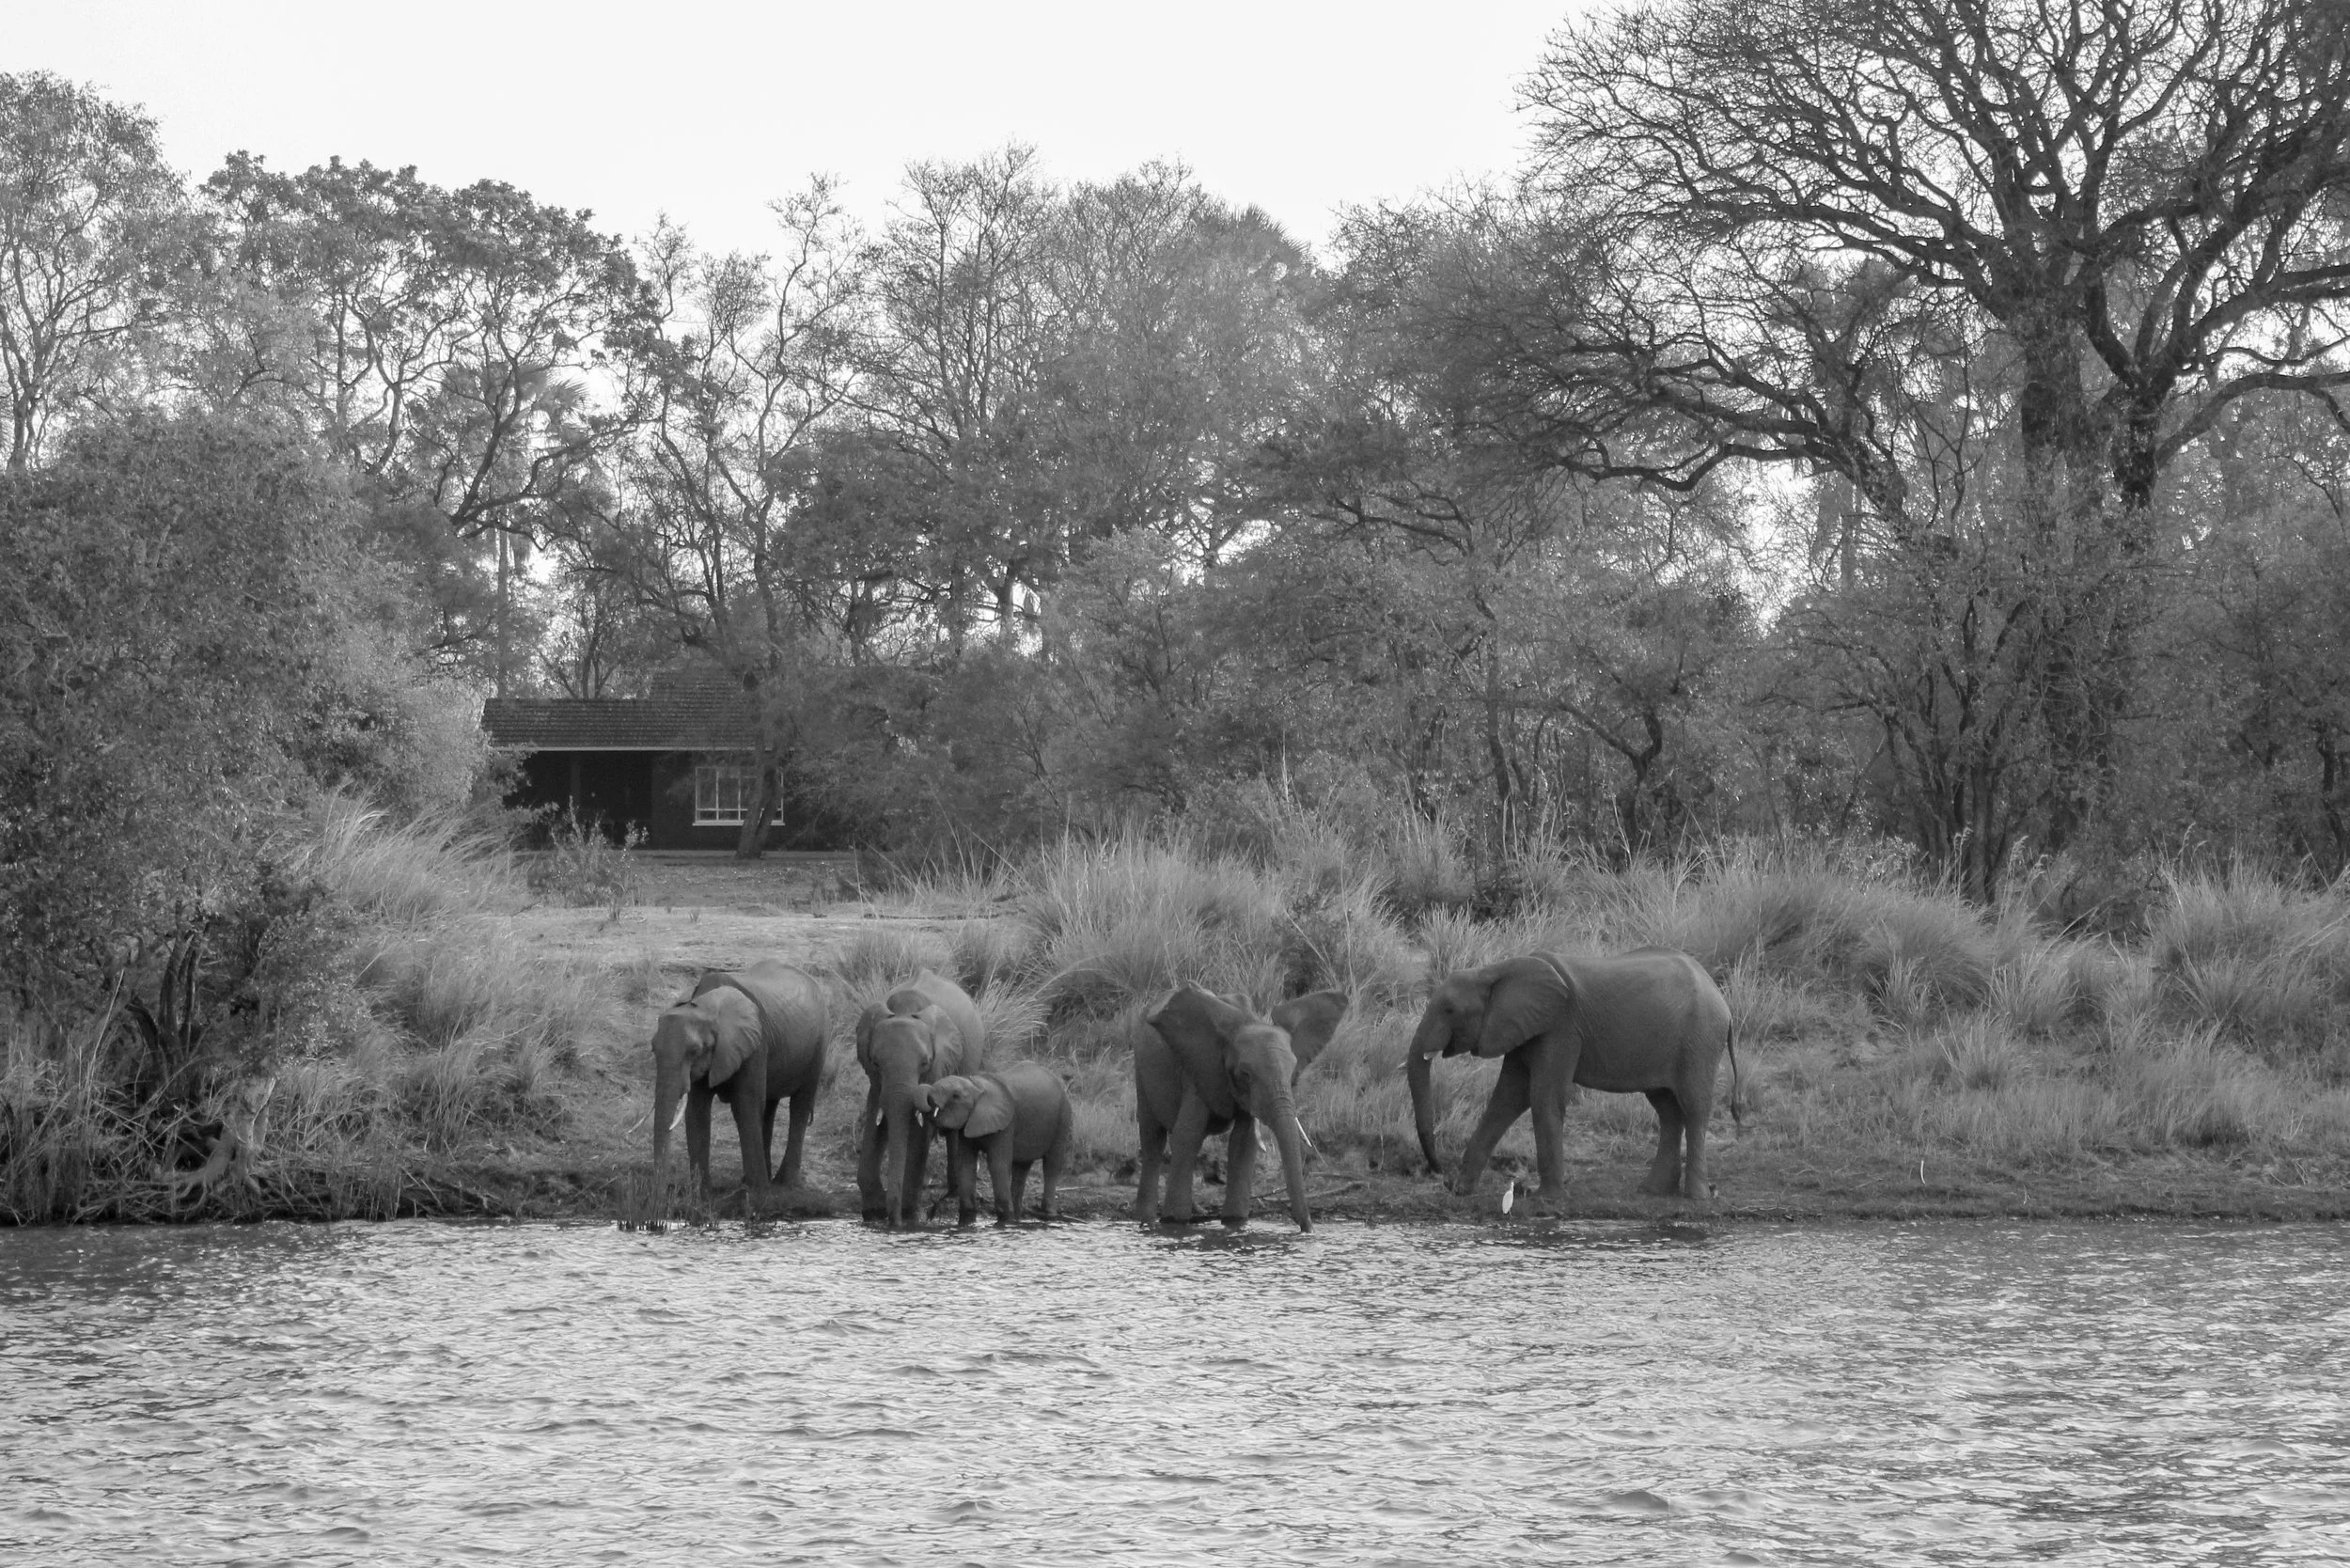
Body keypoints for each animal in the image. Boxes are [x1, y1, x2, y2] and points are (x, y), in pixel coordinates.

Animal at [650, 959, 829, 1209]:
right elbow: (698, 1112)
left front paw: (757, 1196)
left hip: (818, 1045)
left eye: (694, 1051)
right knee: (768, 1107)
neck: (707, 1006)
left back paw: (783, 1184)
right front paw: (702, 1196)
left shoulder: (755, 1044)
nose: (661, 1198)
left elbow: (745, 1105)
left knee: (799, 1106)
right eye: (653, 1049)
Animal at [856, 969, 986, 1227]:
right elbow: (876, 1121)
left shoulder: (938, 1064)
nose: (893, 1223)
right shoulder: (876, 1080)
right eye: (875, 1062)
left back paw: (954, 1192)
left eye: (925, 1062)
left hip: (971, 1057)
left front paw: (907, 1216)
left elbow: (918, 1132)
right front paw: (873, 1211)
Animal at [919, 1062, 1073, 1226]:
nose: (931, 1213)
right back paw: (1018, 1216)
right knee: (1022, 1168)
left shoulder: (1006, 1124)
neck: (976, 1086)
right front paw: (968, 1219)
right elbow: (966, 1164)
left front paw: (1005, 1219)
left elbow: (997, 1165)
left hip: (1063, 1118)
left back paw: (1048, 1215)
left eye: (956, 1096)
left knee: (1052, 1165)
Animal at [1135, 986, 1347, 1232]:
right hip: (1141, 1069)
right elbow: (1188, 1135)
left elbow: (1243, 1143)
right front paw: (1175, 1223)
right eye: (1246, 1074)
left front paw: (1235, 1222)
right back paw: (1146, 1219)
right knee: (1153, 1139)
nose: (1307, 1229)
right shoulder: (1199, 1068)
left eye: (1292, 1073)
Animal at [1406, 947, 1739, 1209]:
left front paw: (1547, 1200)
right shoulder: (1523, 1028)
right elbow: (1507, 1099)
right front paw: (1461, 1191)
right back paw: (1653, 1191)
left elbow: (1543, 1097)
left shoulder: (1560, 1027)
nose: (1441, 1174)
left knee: (1694, 1108)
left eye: (1449, 1010)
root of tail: (1721, 997)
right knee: (1668, 1110)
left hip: (1700, 1039)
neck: (1494, 970)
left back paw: (1695, 1197)